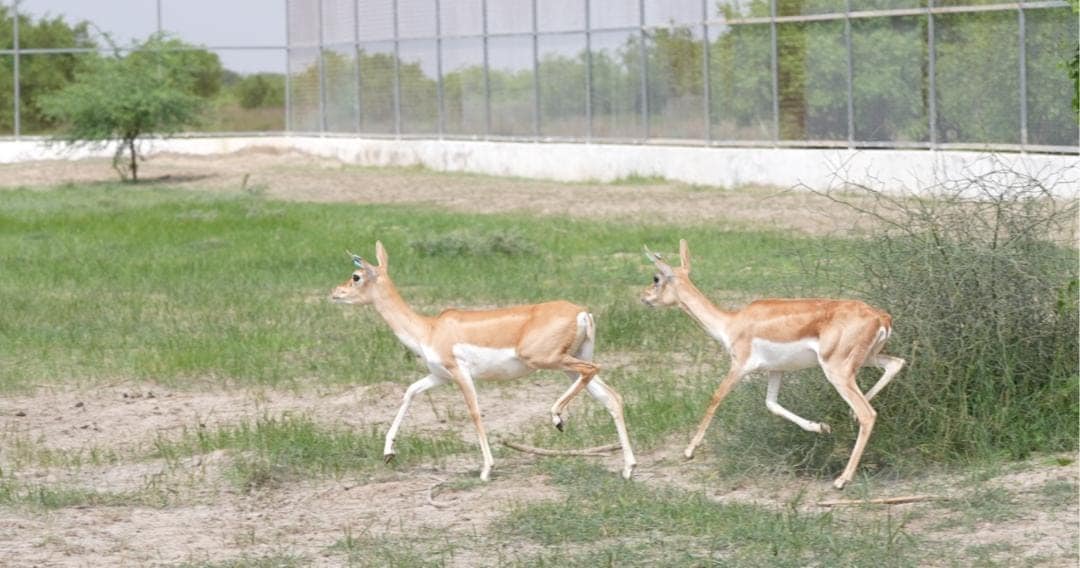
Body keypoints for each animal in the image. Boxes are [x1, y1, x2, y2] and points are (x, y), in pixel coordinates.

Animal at [330, 241, 636, 481]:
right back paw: (628, 468)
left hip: (549, 360)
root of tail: (581, 312)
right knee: (612, 397)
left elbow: (475, 412)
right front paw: (388, 453)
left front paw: (486, 469)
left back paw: (557, 418)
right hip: (570, 364)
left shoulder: (460, 373)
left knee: (594, 372)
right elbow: (410, 392)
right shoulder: (439, 376)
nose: (334, 293)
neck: (429, 329)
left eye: (356, 276)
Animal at [641, 239, 905, 489]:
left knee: (868, 414)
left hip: (837, 370)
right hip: (866, 359)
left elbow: (716, 397)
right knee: (896, 364)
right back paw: (848, 420)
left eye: (656, 278)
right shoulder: (776, 370)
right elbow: (772, 404)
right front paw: (821, 427)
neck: (731, 323)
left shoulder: (739, 366)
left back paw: (842, 480)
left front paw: (688, 451)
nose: (643, 296)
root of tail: (881, 317)